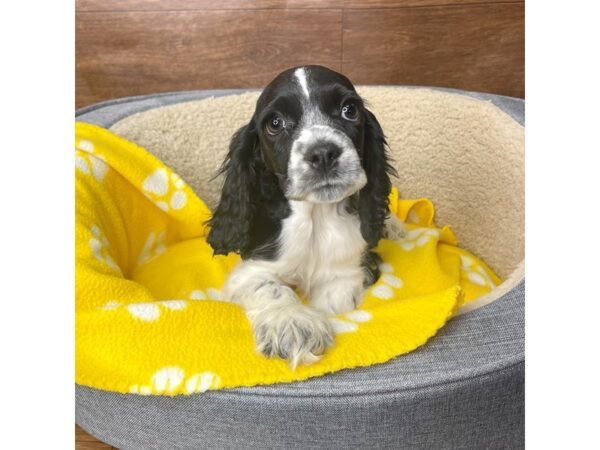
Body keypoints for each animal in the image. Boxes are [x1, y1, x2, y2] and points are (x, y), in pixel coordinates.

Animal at [206, 67, 404, 370]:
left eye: (349, 110)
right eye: (275, 123)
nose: (323, 153)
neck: (315, 218)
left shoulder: (350, 267)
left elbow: (335, 300)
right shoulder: (250, 270)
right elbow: (271, 288)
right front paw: (293, 324)